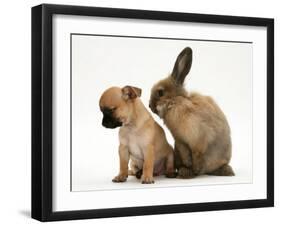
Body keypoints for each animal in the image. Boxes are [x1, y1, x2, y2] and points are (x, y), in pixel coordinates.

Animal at [149, 47, 234, 178]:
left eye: (160, 92)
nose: (149, 106)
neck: (176, 100)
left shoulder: (198, 138)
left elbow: (197, 155)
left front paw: (195, 170)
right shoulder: (180, 141)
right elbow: (187, 156)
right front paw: (190, 170)